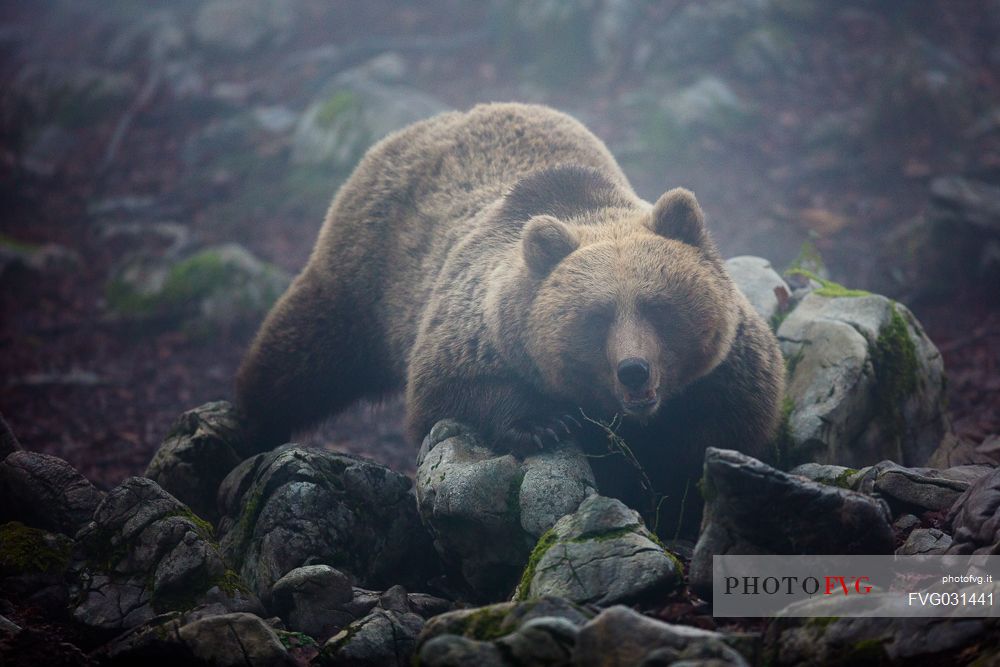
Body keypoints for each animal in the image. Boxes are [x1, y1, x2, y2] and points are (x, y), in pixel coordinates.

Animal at [238, 103, 784, 532]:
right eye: (597, 316)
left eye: (658, 306)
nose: (634, 370)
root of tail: (441, 119)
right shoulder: (475, 327)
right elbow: (449, 390)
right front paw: (546, 423)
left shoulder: (722, 374)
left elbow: (719, 430)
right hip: (367, 272)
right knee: (306, 354)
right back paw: (252, 424)